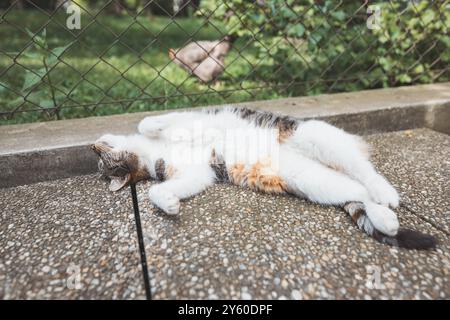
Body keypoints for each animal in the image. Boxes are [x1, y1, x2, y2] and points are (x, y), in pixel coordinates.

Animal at [91, 106, 436, 249]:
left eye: (101, 159)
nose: (93, 146)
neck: (152, 154)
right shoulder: (198, 172)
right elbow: (165, 188)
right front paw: (169, 203)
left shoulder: (189, 118)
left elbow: (152, 122)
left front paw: (153, 126)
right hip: (312, 180)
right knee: (357, 192)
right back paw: (385, 219)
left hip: (316, 137)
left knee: (364, 171)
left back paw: (385, 192)